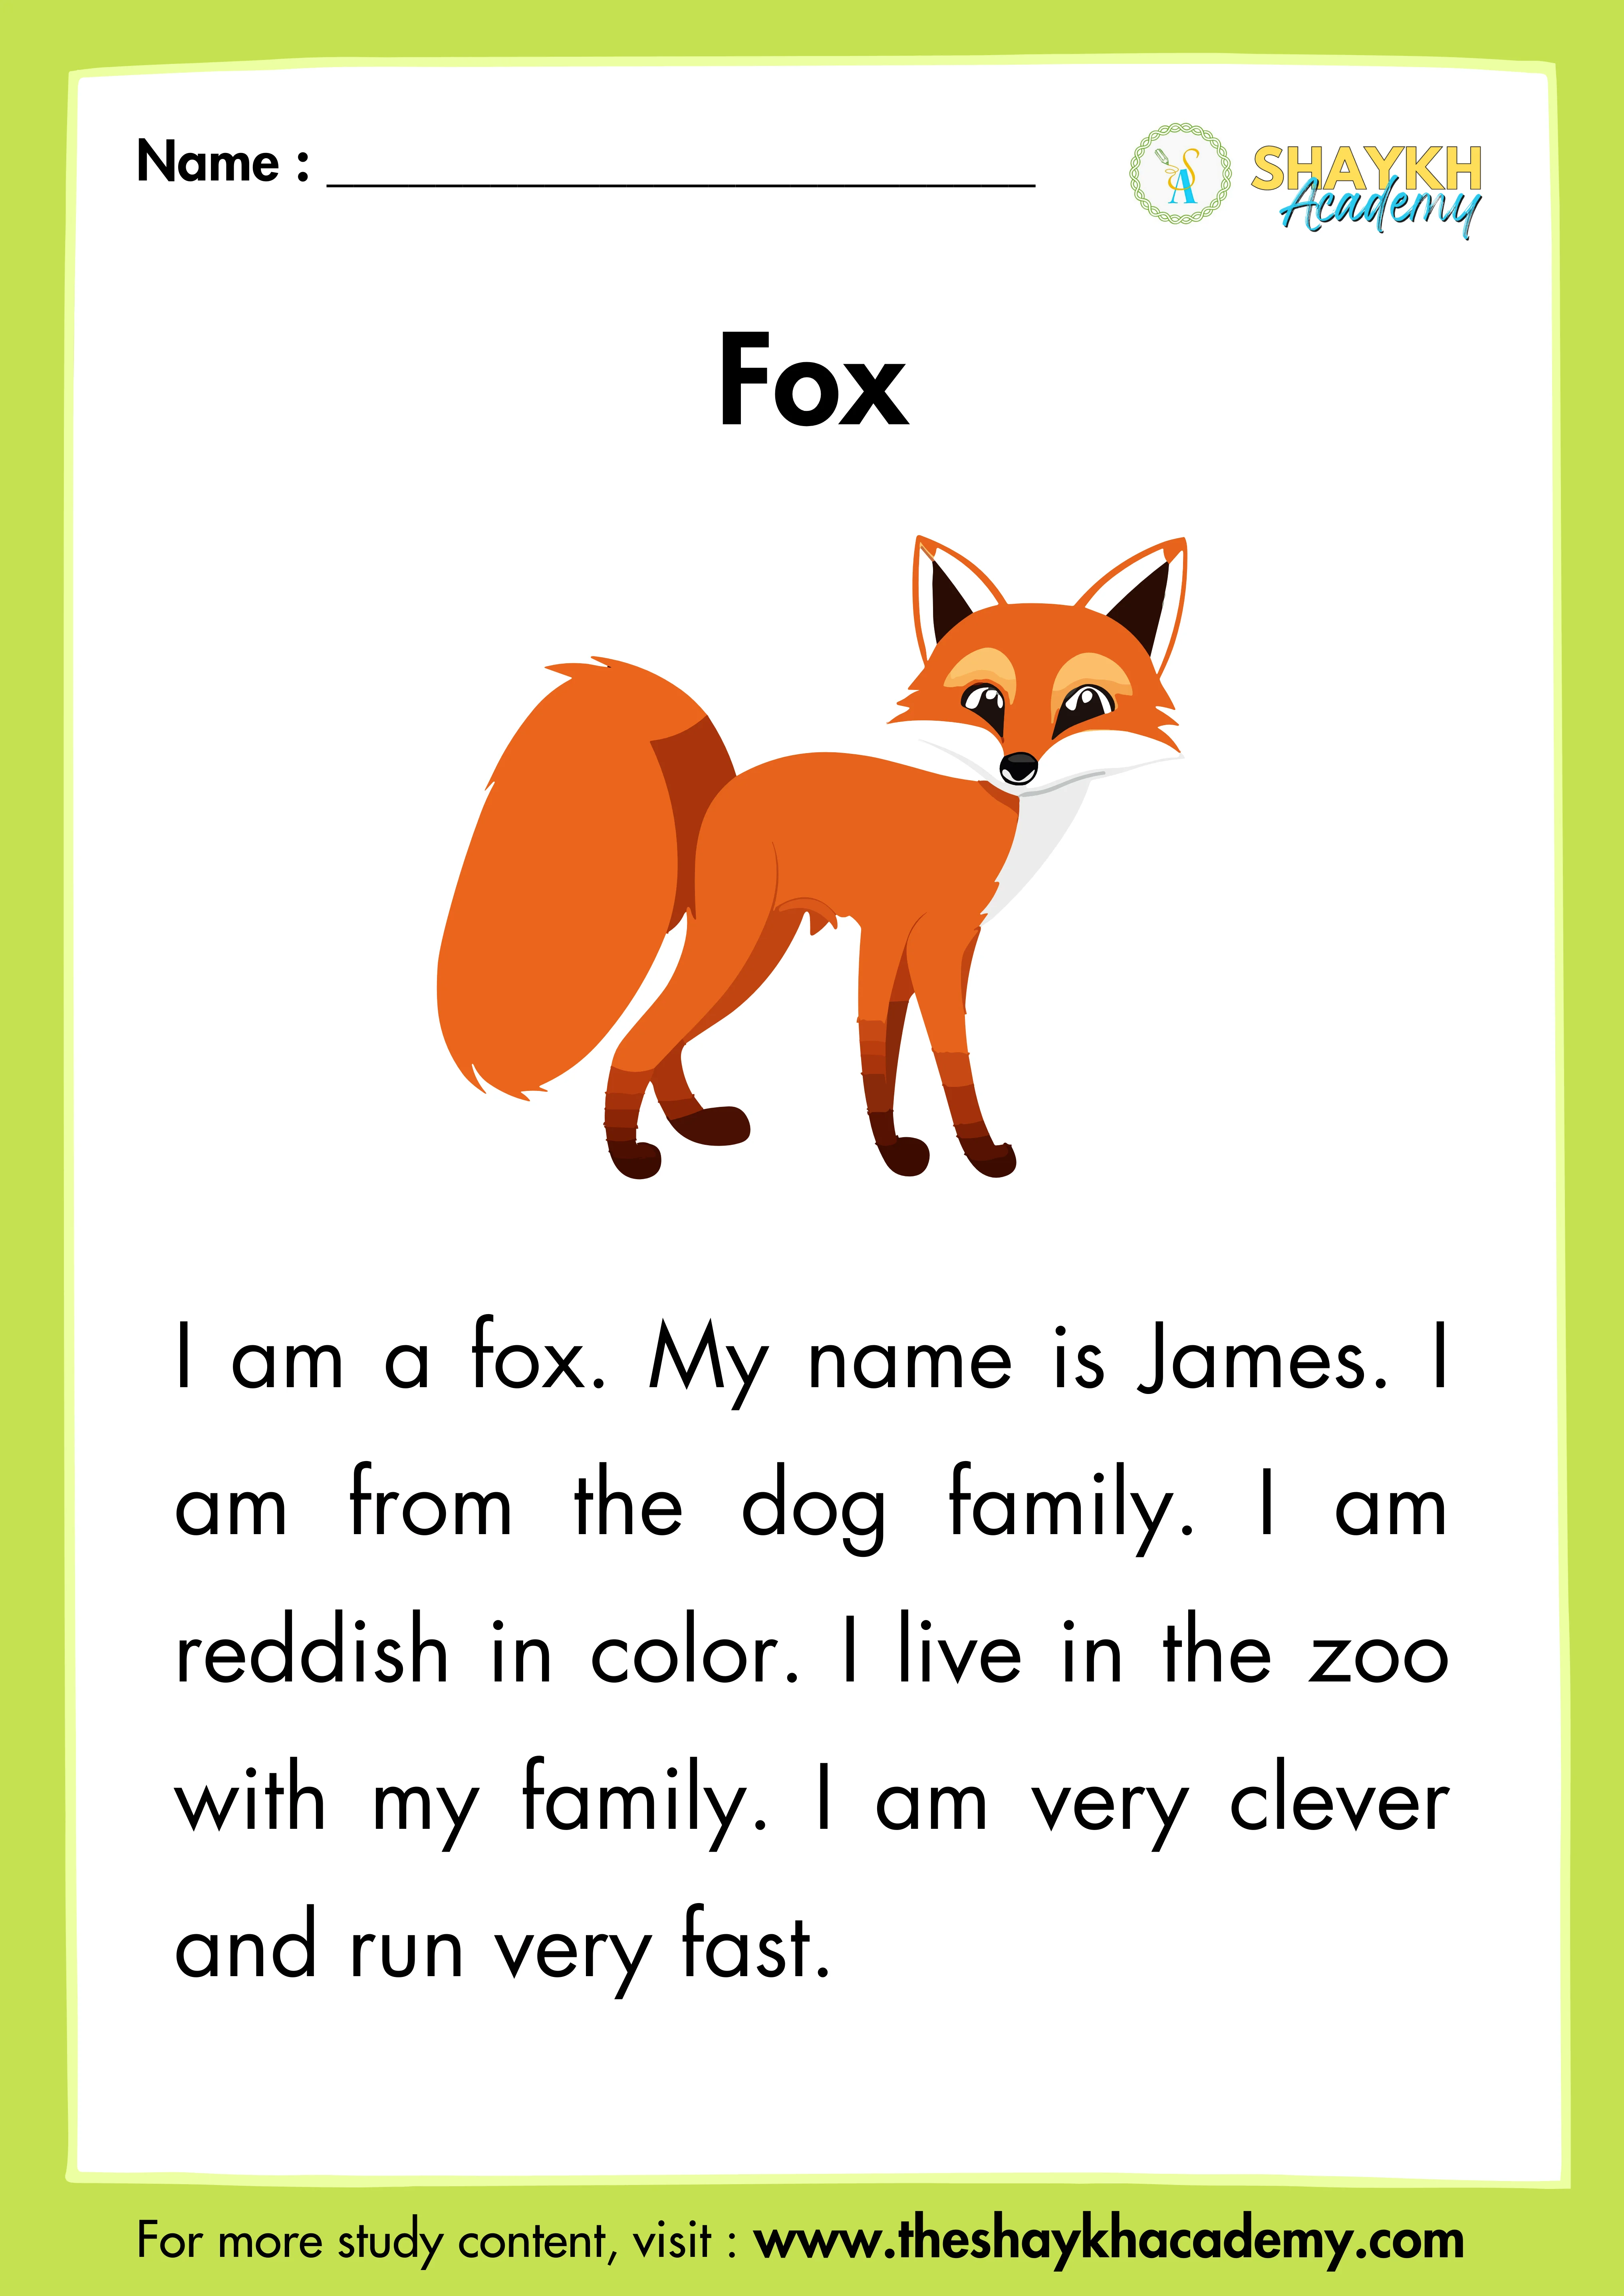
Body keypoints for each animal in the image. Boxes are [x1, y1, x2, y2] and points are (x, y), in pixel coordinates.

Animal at [437, 534, 1187, 1179]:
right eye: (985, 701)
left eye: (1083, 703)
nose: (1019, 767)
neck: (1001, 821)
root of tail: (724, 787)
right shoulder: (903, 935)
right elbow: (907, 1048)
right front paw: (930, 1154)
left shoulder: (945, 941)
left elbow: (913, 1047)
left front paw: (925, 1149)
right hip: (739, 943)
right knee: (639, 1038)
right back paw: (631, 1158)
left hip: (755, 947)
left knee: (662, 1038)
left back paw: (692, 1124)